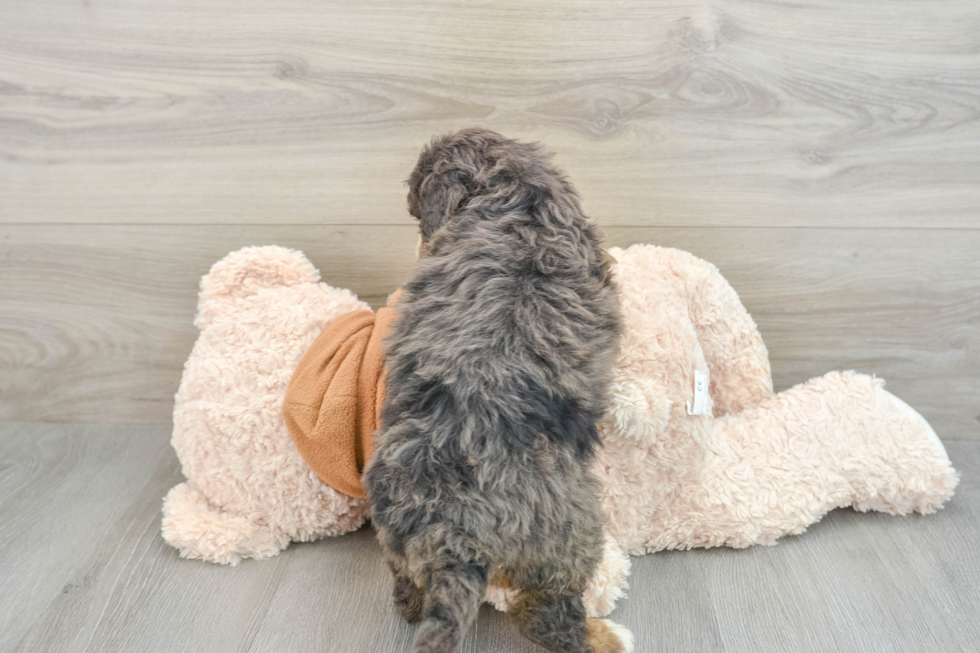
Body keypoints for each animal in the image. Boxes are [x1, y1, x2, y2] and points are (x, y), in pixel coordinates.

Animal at [364, 127, 632, 652]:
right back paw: (607, 637)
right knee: (548, 618)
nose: (422, 244)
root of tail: (453, 531)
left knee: (407, 591)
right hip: (568, 536)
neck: (515, 190)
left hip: (396, 534)